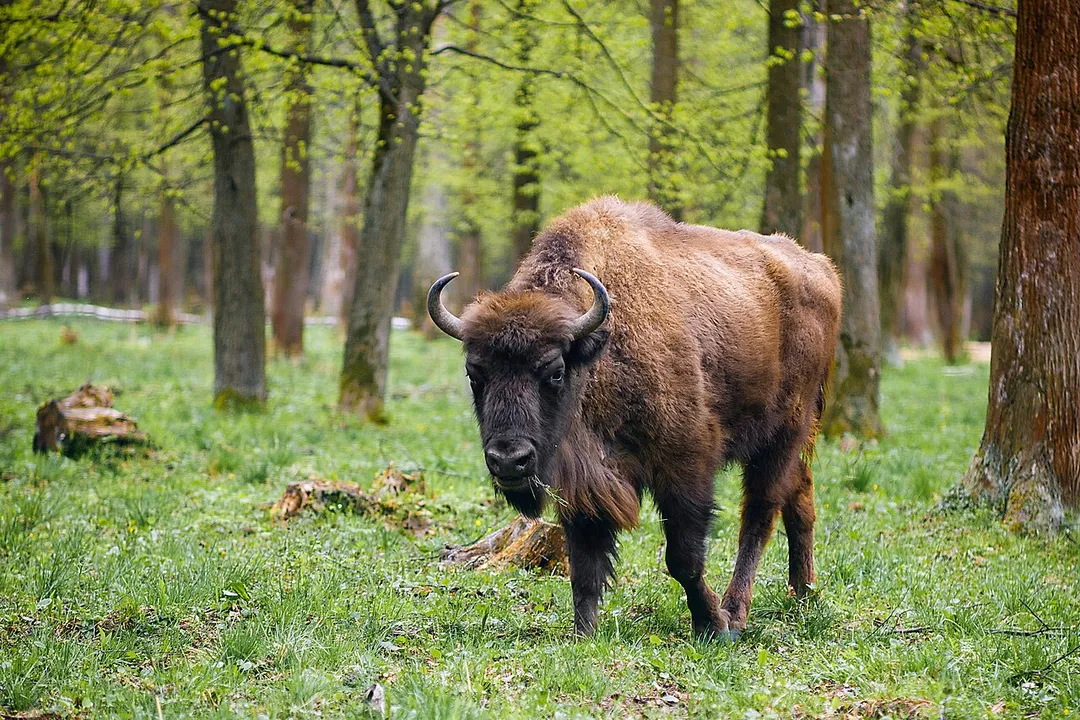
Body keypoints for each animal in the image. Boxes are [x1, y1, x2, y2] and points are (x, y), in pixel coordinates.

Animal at [428, 197, 841, 638]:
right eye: (474, 374)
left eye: (554, 370)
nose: (508, 460)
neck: (598, 353)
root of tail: (822, 268)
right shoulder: (585, 482)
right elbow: (584, 567)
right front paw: (584, 634)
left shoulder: (686, 463)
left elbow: (683, 558)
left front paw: (711, 624)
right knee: (800, 494)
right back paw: (803, 593)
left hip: (783, 432)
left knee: (759, 514)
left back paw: (737, 612)